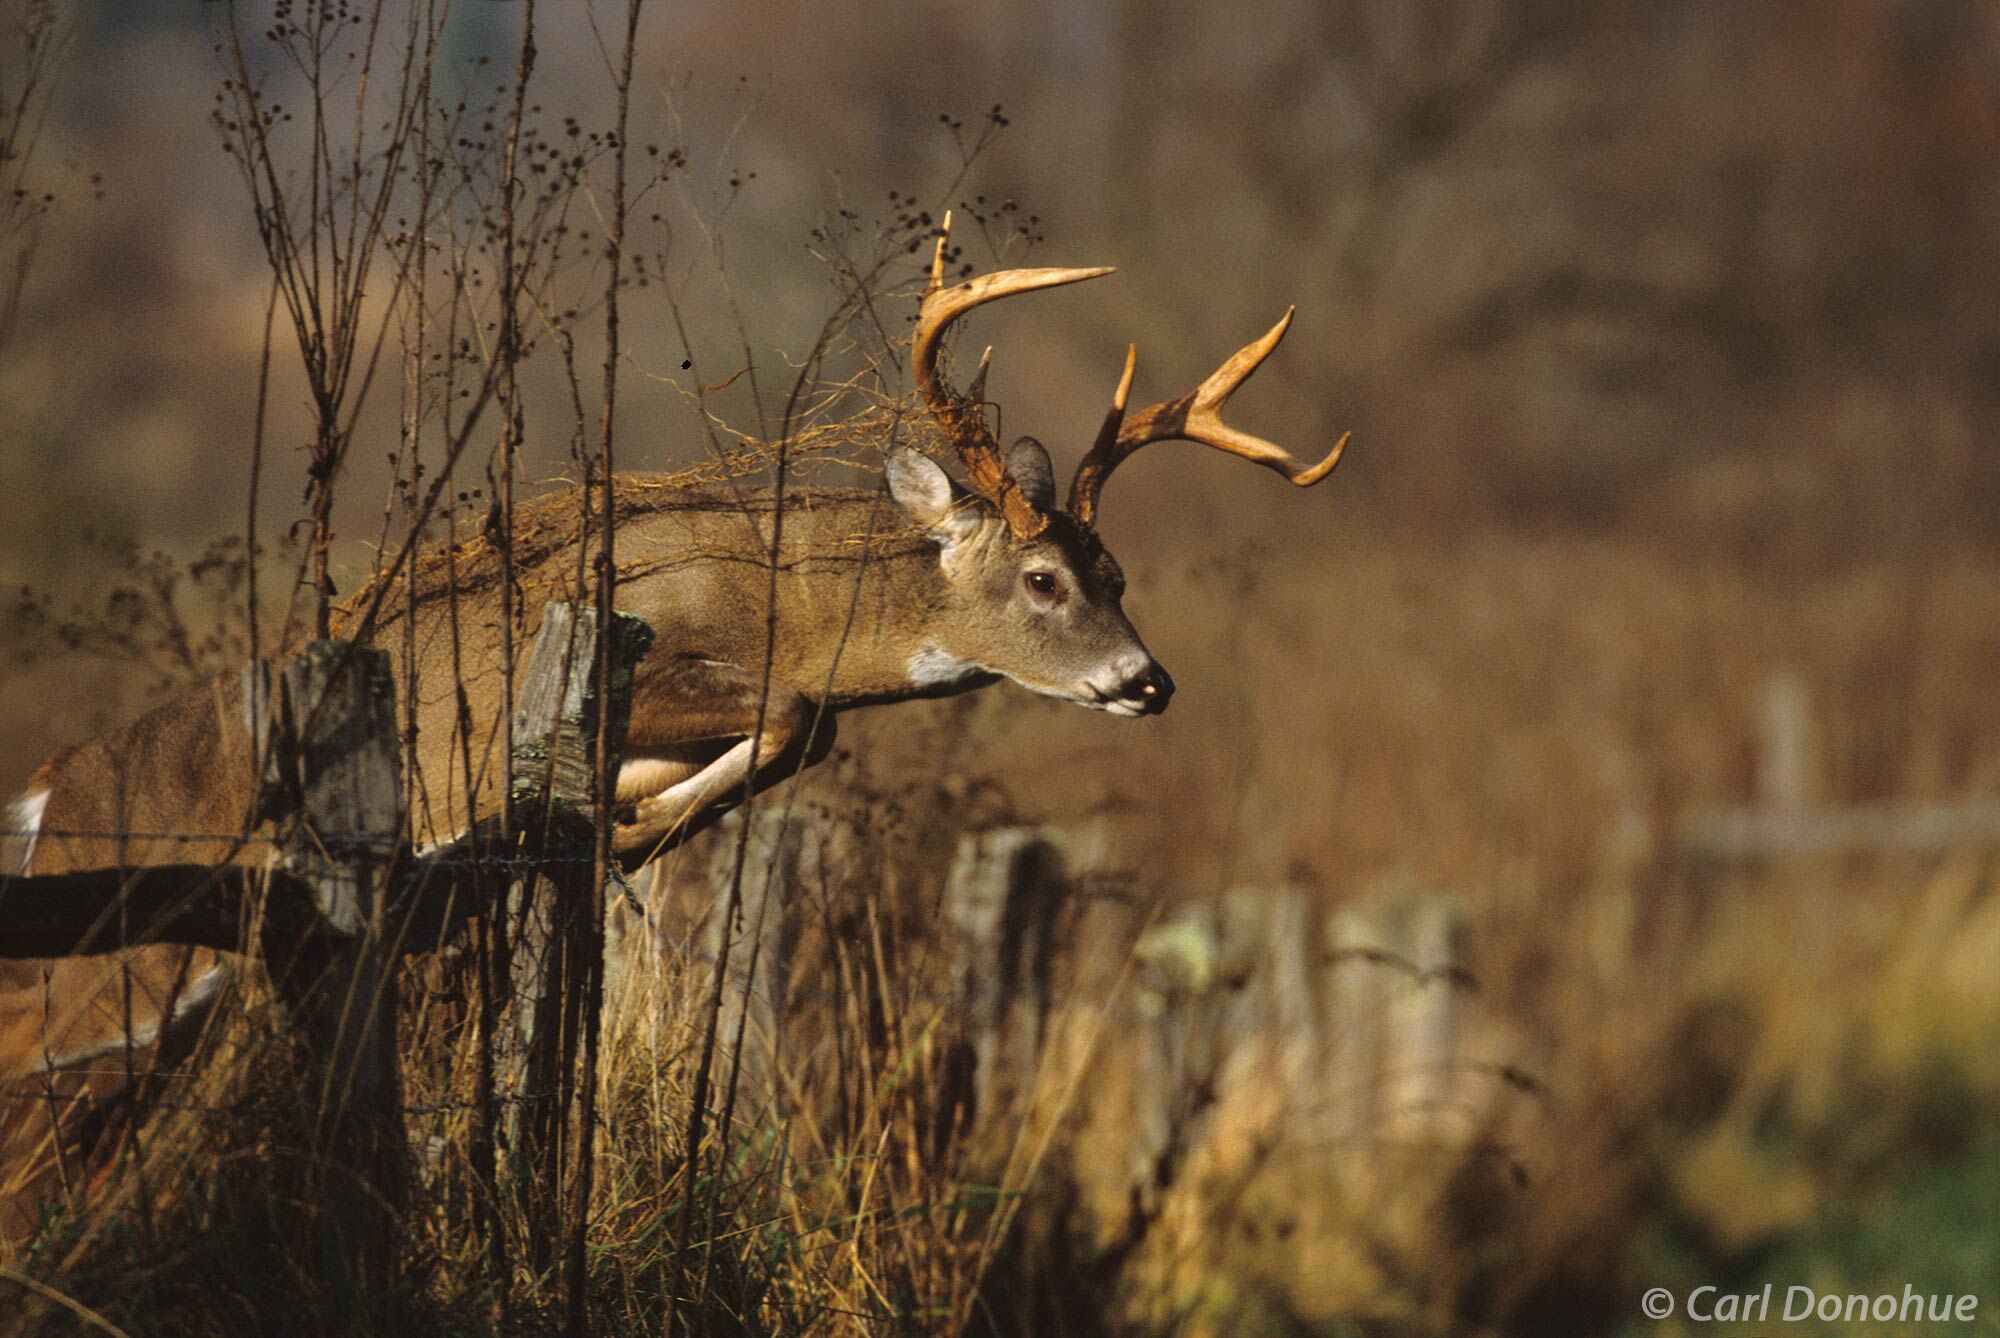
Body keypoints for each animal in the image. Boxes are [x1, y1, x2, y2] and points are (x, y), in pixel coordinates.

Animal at [0, 217, 1352, 1224]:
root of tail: (52, 787)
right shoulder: (629, 656)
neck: (777, 595)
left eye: (1116, 572)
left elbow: (789, 738)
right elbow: (799, 714)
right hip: (123, 966)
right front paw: (626, 825)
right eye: (1041, 580)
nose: (1147, 680)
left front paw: (632, 820)